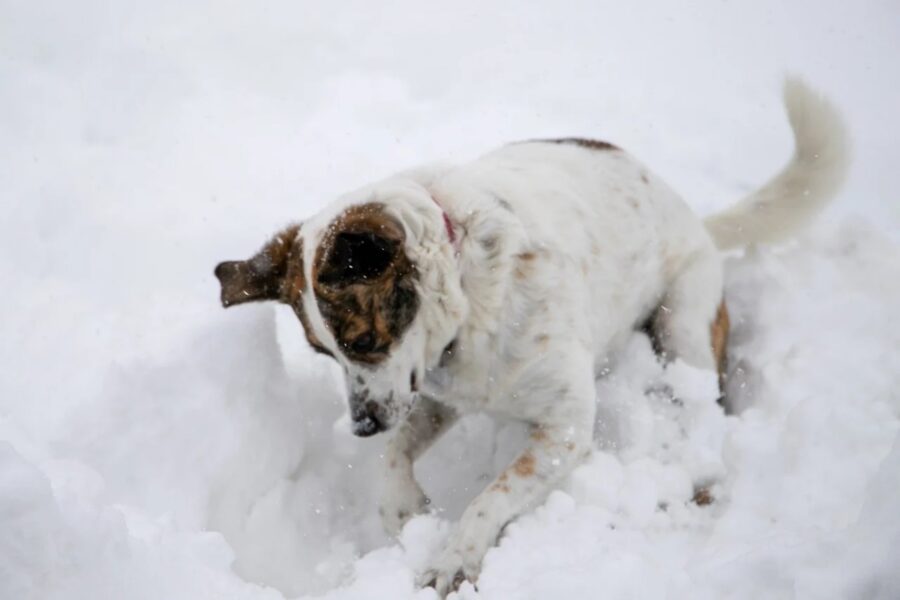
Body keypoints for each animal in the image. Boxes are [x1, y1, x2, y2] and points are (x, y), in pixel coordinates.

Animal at [214, 79, 848, 596]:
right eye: (323, 352)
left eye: (364, 341)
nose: (363, 425)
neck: (469, 295)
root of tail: (697, 217)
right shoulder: (438, 397)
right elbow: (394, 460)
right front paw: (404, 511)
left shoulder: (563, 428)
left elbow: (492, 495)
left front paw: (454, 558)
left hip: (684, 323)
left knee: (703, 402)